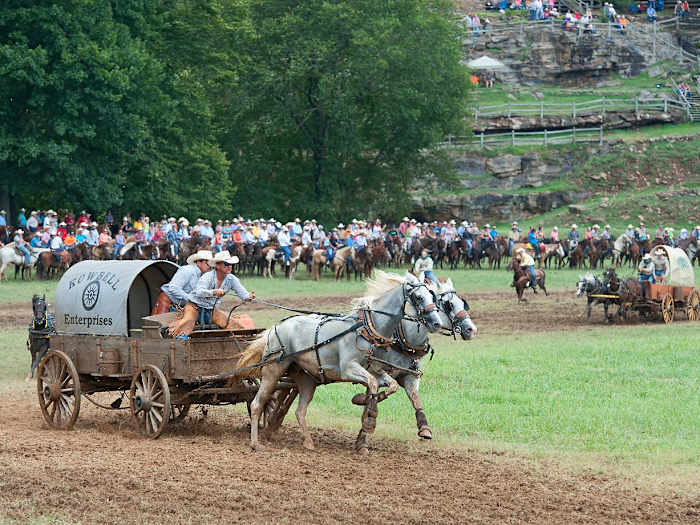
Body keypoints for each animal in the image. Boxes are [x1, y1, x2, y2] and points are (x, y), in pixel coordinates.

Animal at [249, 270, 440, 450]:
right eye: (418, 297)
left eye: (433, 296)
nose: (437, 323)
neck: (367, 329)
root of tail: (276, 327)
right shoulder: (348, 369)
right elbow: (373, 384)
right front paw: (369, 418)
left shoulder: (375, 370)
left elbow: (389, 385)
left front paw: (362, 401)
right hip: (272, 372)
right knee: (257, 404)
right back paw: (256, 443)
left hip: (306, 379)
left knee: (300, 410)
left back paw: (308, 442)